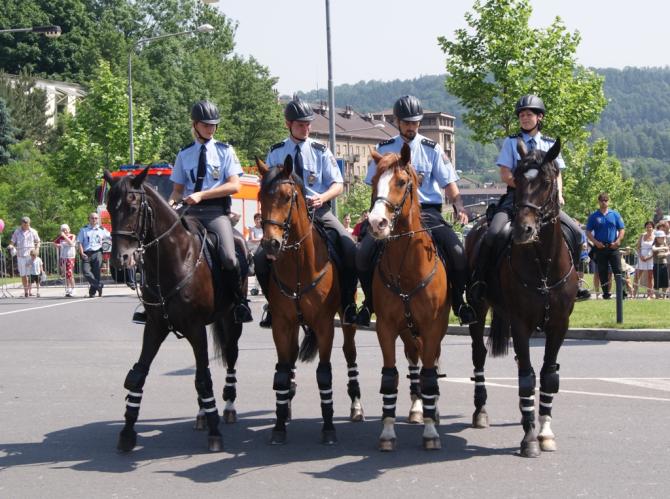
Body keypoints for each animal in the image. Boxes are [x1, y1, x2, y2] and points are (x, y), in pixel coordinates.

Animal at [102, 168, 244, 454]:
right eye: (110, 207)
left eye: (133, 207)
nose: (119, 259)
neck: (175, 258)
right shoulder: (155, 327)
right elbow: (138, 375)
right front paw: (127, 432)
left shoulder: (195, 328)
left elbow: (204, 378)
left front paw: (215, 432)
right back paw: (201, 414)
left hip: (232, 321)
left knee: (230, 357)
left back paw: (228, 406)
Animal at [258, 155, 364, 446]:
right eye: (260, 196)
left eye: (286, 197)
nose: (270, 244)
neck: (297, 262)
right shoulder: (282, 324)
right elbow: (282, 373)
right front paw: (279, 425)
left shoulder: (325, 325)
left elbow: (324, 374)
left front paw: (328, 427)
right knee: (290, 359)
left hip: (346, 320)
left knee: (350, 354)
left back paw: (356, 405)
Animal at [368, 144, 452, 454]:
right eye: (374, 180)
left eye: (402, 182)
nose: (376, 223)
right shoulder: (386, 328)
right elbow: (390, 376)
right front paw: (387, 432)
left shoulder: (432, 326)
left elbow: (429, 376)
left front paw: (430, 432)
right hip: (407, 331)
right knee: (414, 360)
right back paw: (417, 408)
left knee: (431, 364)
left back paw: (432, 411)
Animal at [464, 137, 580, 458]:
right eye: (516, 178)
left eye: (548, 181)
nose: (522, 229)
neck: (543, 265)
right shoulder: (520, 324)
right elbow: (527, 378)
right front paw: (529, 439)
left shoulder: (558, 325)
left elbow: (548, 375)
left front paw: (544, 431)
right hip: (478, 308)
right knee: (479, 355)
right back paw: (480, 411)